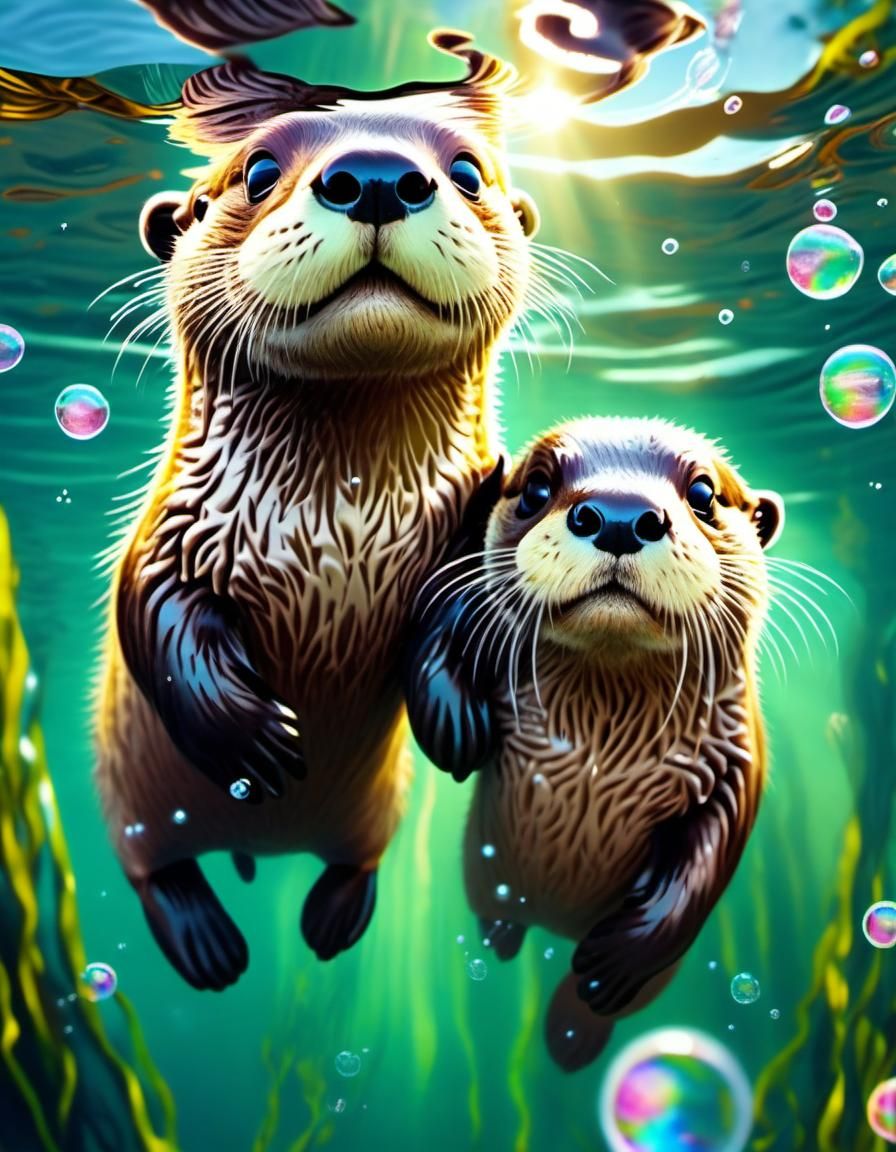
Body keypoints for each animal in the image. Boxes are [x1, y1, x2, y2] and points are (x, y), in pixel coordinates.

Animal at [95, 36, 540, 990]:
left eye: (468, 170)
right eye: (258, 168)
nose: (374, 175)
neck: (339, 532)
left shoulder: (474, 516)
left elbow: (461, 610)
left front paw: (454, 721)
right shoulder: (172, 529)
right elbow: (152, 615)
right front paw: (252, 740)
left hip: (375, 813)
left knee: (353, 859)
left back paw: (331, 918)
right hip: (126, 806)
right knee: (154, 871)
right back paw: (208, 946)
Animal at [404, 416, 783, 1069]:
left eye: (704, 492)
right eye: (536, 486)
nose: (618, 516)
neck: (600, 750)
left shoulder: (739, 757)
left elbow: (712, 857)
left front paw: (615, 963)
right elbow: (428, 634)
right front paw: (460, 732)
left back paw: (573, 1033)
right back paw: (504, 940)